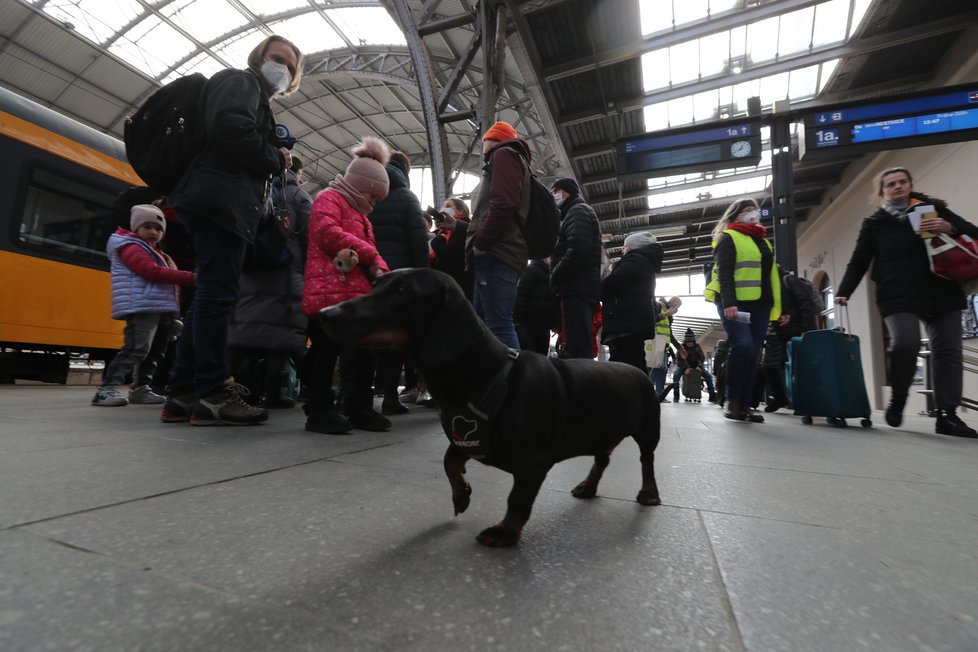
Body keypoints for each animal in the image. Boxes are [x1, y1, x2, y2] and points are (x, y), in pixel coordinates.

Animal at [322, 268, 664, 548]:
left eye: (403, 290)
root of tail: (636, 369)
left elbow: (517, 499)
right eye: (375, 284)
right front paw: (461, 494)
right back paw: (588, 486)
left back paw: (649, 492)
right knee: (602, 460)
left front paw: (505, 531)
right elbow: (449, 461)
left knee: (647, 461)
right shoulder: (468, 437)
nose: (326, 313)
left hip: (648, 430)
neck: (490, 375)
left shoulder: (532, 463)